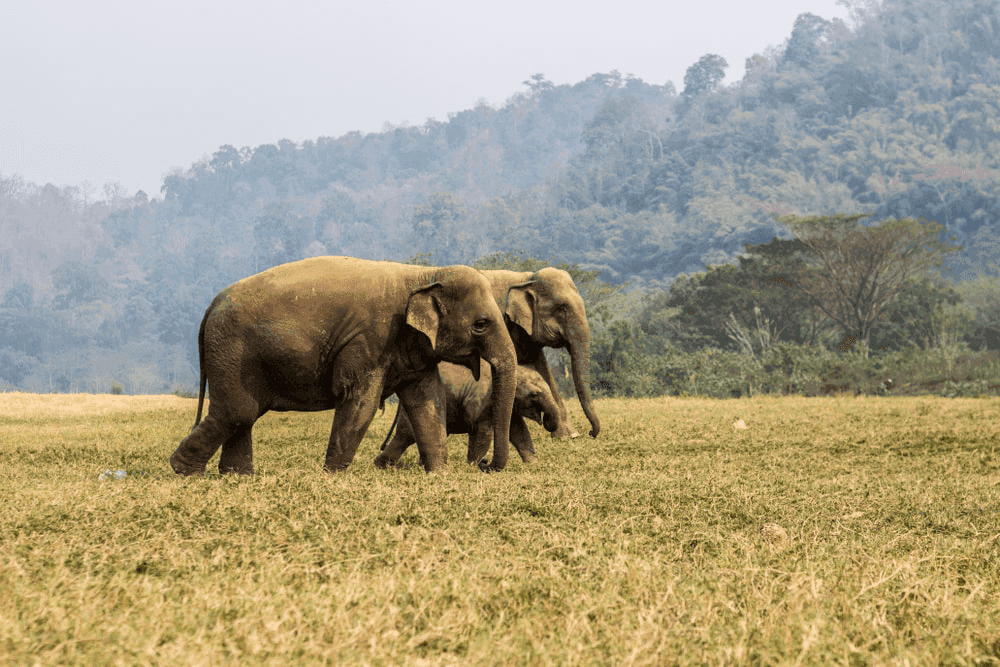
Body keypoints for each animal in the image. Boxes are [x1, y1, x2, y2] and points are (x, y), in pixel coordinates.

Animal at [169, 256, 517, 476]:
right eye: (481, 325)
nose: (484, 466)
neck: (422, 273)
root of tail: (211, 305)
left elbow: (428, 403)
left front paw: (440, 475)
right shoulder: (371, 339)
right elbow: (360, 401)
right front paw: (333, 475)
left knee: (244, 415)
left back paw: (237, 476)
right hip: (232, 352)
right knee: (237, 412)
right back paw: (185, 471)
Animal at [374, 360, 561, 469]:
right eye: (534, 394)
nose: (486, 463)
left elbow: (518, 431)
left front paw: (533, 464)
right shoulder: (482, 401)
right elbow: (482, 431)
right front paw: (472, 466)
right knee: (407, 435)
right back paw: (384, 465)